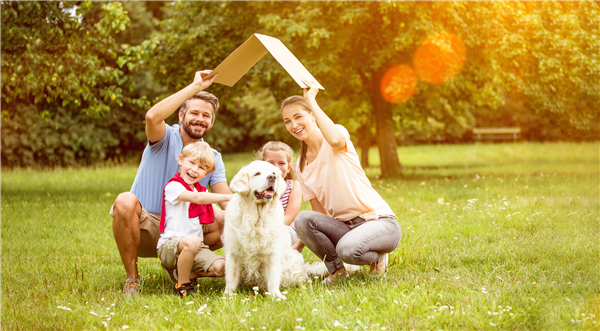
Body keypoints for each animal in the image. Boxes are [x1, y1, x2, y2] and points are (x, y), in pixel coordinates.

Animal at [223, 161, 308, 300]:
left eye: (273, 173)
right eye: (257, 173)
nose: (272, 177)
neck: (257, 217)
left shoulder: (272, 254)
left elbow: (273, 278)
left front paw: (276, 296)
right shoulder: (233, 253)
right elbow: (231, 277)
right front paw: (228, 296)